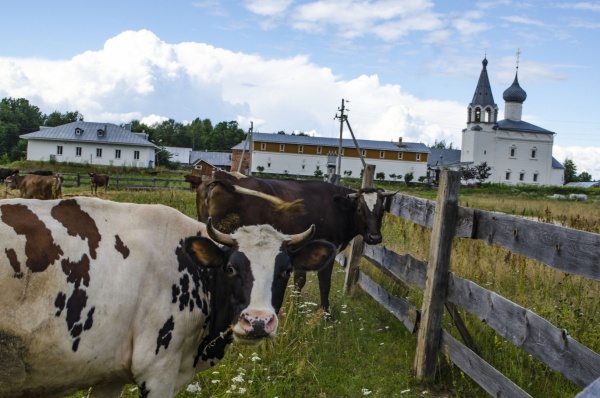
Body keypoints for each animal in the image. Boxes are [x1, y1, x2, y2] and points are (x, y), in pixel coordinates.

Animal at [195, 170, 396, 310]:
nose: (375, 237)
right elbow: (324, 284)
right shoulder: (328, 251)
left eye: (382, 210)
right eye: (360, 210)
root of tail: (220, 177)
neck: (337, 206)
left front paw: (296, 308)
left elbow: (299, 281)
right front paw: (326, 314)